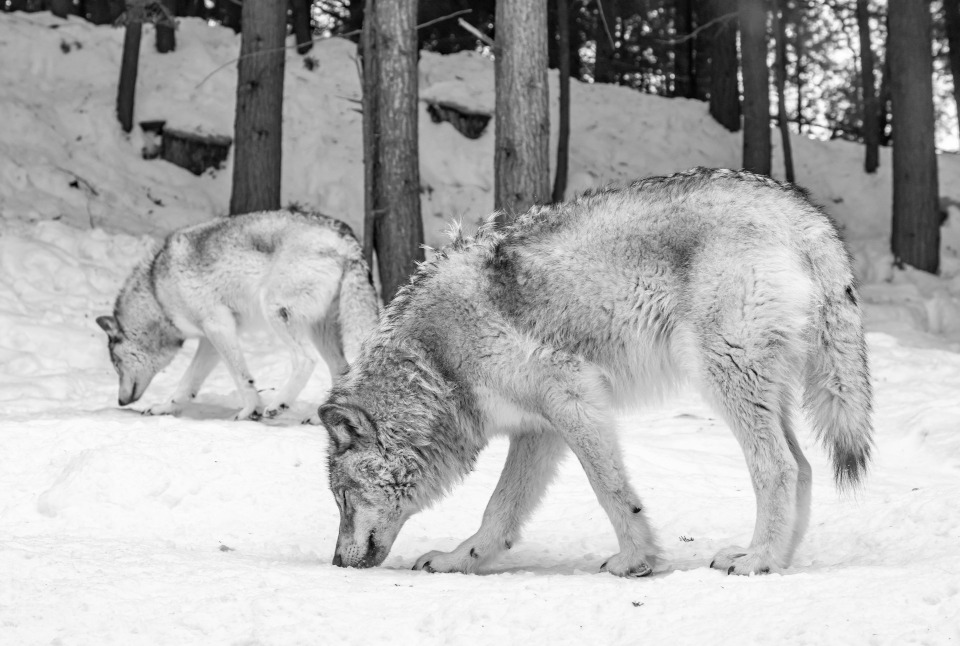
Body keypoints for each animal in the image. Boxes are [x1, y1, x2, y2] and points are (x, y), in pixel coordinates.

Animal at [97, 209, 380, 421]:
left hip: (276, 312)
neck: (157, 293)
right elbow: (187, 383)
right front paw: (165, 408)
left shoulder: (219, 326)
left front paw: (250, 410)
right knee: (341, 369)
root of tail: (347, 239)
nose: (120, 401)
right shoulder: (209, 340)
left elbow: (241, 375)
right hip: (319, 330)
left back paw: (278, 405)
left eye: (116, 364)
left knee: (306, 360)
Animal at [319, 168, 873, 577]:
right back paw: (775, 560)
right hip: (760, 390)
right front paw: (460, 560)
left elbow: (610, 490)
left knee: (777, 468)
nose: (337, 562)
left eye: (342, 499)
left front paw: (635, 561)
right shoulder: (538, 429)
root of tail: (802, 212)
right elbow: (499, 509)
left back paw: (756, 560)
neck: (435, 362)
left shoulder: (574, 397)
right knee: (803, 467)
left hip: (722, 378)